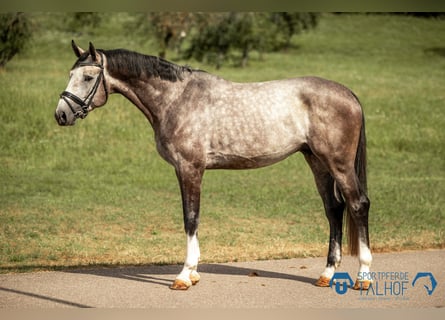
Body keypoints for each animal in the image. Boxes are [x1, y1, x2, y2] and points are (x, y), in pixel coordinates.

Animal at [54, 42, 372, 290]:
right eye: (70, 74)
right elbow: (191, 217)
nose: (61, 114)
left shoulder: (190, 168)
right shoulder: (184, 170)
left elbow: (191, 218)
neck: (176, 99)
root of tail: (349, 94)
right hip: (317, 161)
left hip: (338, 163)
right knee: (333, 209)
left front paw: (184, 275)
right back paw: (327, 274)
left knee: (358, 204)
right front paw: (193, 273)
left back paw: (363, 276)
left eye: (88, 76)